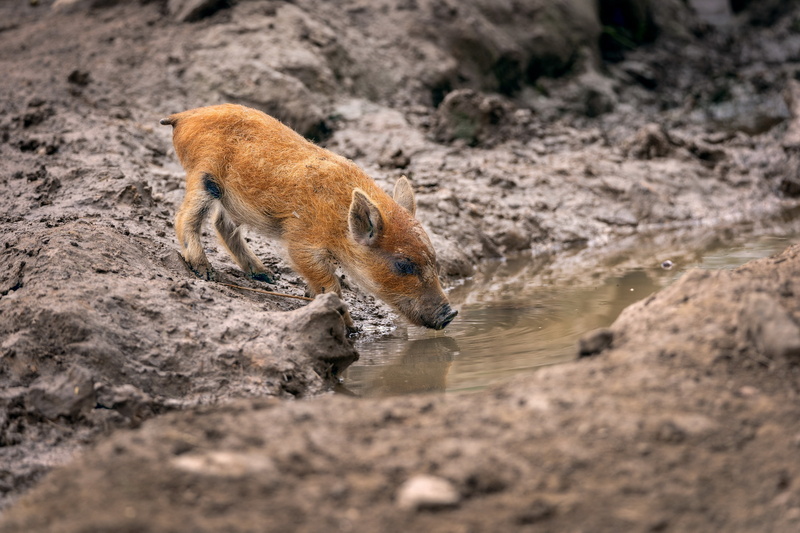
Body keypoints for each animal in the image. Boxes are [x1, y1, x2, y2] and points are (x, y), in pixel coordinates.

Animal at [160, 104, 457, 331]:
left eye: (434, 260)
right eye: (403, 265)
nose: (451, 314)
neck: (339, 222)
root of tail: (184, 115)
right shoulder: (301, 239)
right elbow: (330, 284)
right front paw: (351, 329)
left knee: (221, 224)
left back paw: (266, 277)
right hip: (203, 175)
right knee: (185, 217)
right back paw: (207, 273)